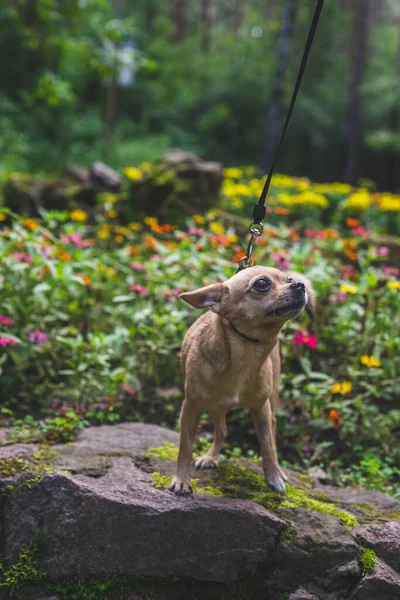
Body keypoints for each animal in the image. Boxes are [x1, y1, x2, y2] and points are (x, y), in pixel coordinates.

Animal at [170, 264, 316, 494]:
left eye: (289, 279)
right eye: (262, 284)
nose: (299, 284)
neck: (246, 352)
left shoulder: (261, 409)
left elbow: (267, 445)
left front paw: (273, 476)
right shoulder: (190, 409)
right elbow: (185, 447)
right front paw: (182, 480)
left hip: (270, 401)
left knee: (270, 433)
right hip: (215, 407)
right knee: (222, 430)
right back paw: (210, 457)